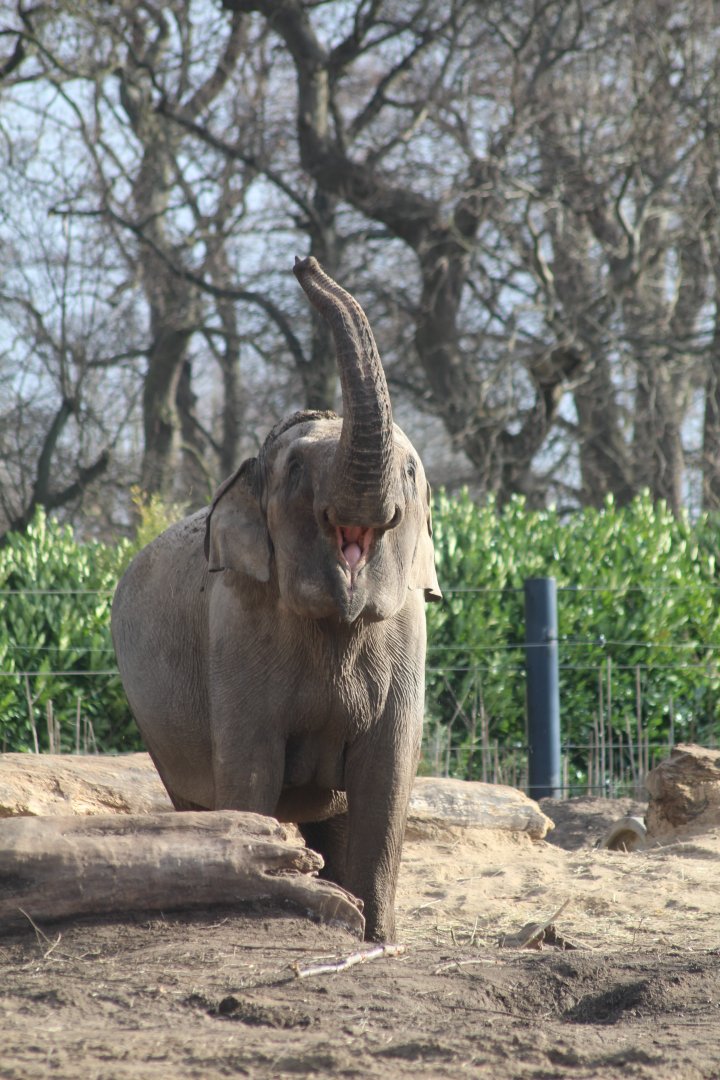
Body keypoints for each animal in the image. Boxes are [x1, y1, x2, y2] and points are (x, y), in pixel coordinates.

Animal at [111, 256, 442, 942]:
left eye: (410, 473)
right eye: (294, 473)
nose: (303, 262)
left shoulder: (407, 634)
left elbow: (386, 781)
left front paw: (378, 941)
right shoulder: (238, 629)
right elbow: (251, 769)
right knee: (193, 801)